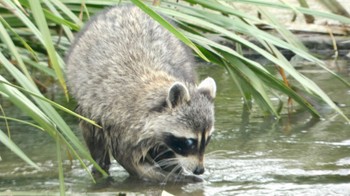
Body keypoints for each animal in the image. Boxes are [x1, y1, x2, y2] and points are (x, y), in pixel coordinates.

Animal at [64, 4, 215, 182]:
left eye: (207, 139)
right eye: (190, 142)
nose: (199, 170)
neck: (157, 80)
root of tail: (127, 6)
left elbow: (163, 151)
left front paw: (175, 170)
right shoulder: (120, 123)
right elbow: (131, 161)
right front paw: (170, 177)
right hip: (88, 102)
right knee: (93, 135)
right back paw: (100, 167)